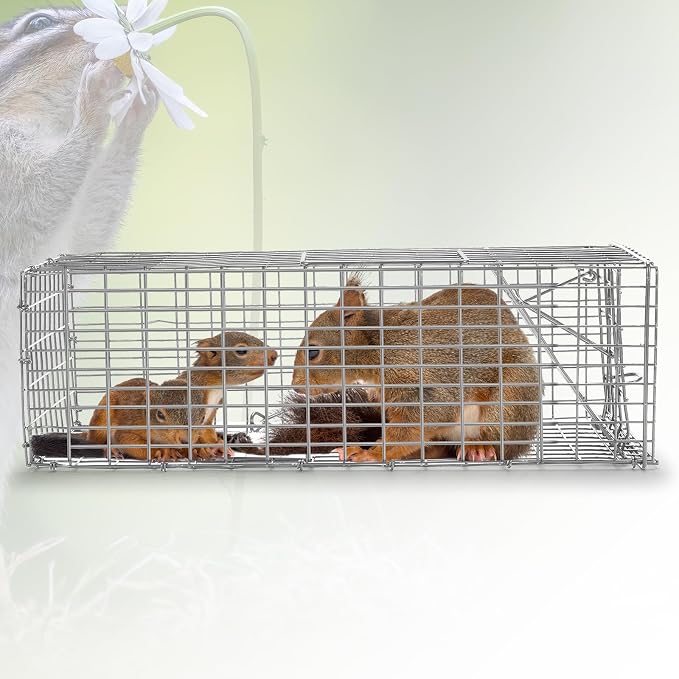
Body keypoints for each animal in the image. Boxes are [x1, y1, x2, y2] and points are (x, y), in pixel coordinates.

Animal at [291, 275, 540, 462]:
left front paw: (371, 454)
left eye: (313, 352)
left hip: (510, 399)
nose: (295, 387)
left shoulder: (421, 384)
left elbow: (414, 424)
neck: (379, 345)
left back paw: (479, 447)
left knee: (501, 442)